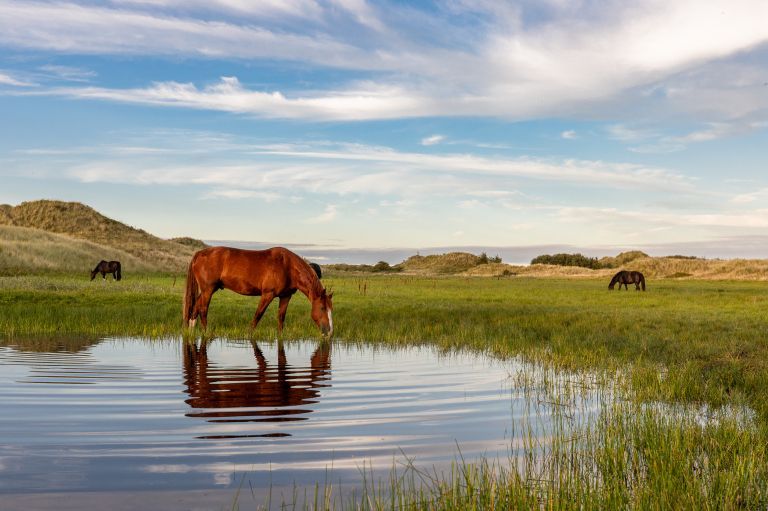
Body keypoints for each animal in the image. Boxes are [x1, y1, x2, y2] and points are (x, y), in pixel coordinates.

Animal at [184, 247, 334, 336]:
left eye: (330, 309)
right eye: (322, 308)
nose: (330, 331)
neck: (287, 266)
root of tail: (199, 253)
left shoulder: (285, 296)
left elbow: (281, 317)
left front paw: (280, 336)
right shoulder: (268, 294)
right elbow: (258, 314)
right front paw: (249, 334)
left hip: (209, 289)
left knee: (195, 307)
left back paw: (191, 331)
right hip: (208, 290)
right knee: (203, 309)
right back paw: (206, 332)